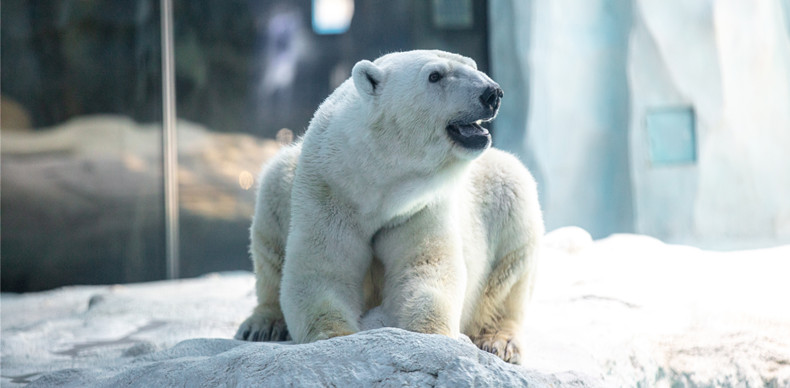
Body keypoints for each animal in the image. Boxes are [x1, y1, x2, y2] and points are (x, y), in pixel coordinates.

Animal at [237, 49, 544, 364]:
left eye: (474, 65)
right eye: (435, 75)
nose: (492, 93)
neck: (378, 184)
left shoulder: (420, 206)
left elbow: (427, 267)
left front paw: (431, 338)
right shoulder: (328, 192)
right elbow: (320, 271)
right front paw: (336, 339)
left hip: (495, 189)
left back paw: (499, 343)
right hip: (285, 180)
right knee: (271, 223)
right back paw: (262, 325)